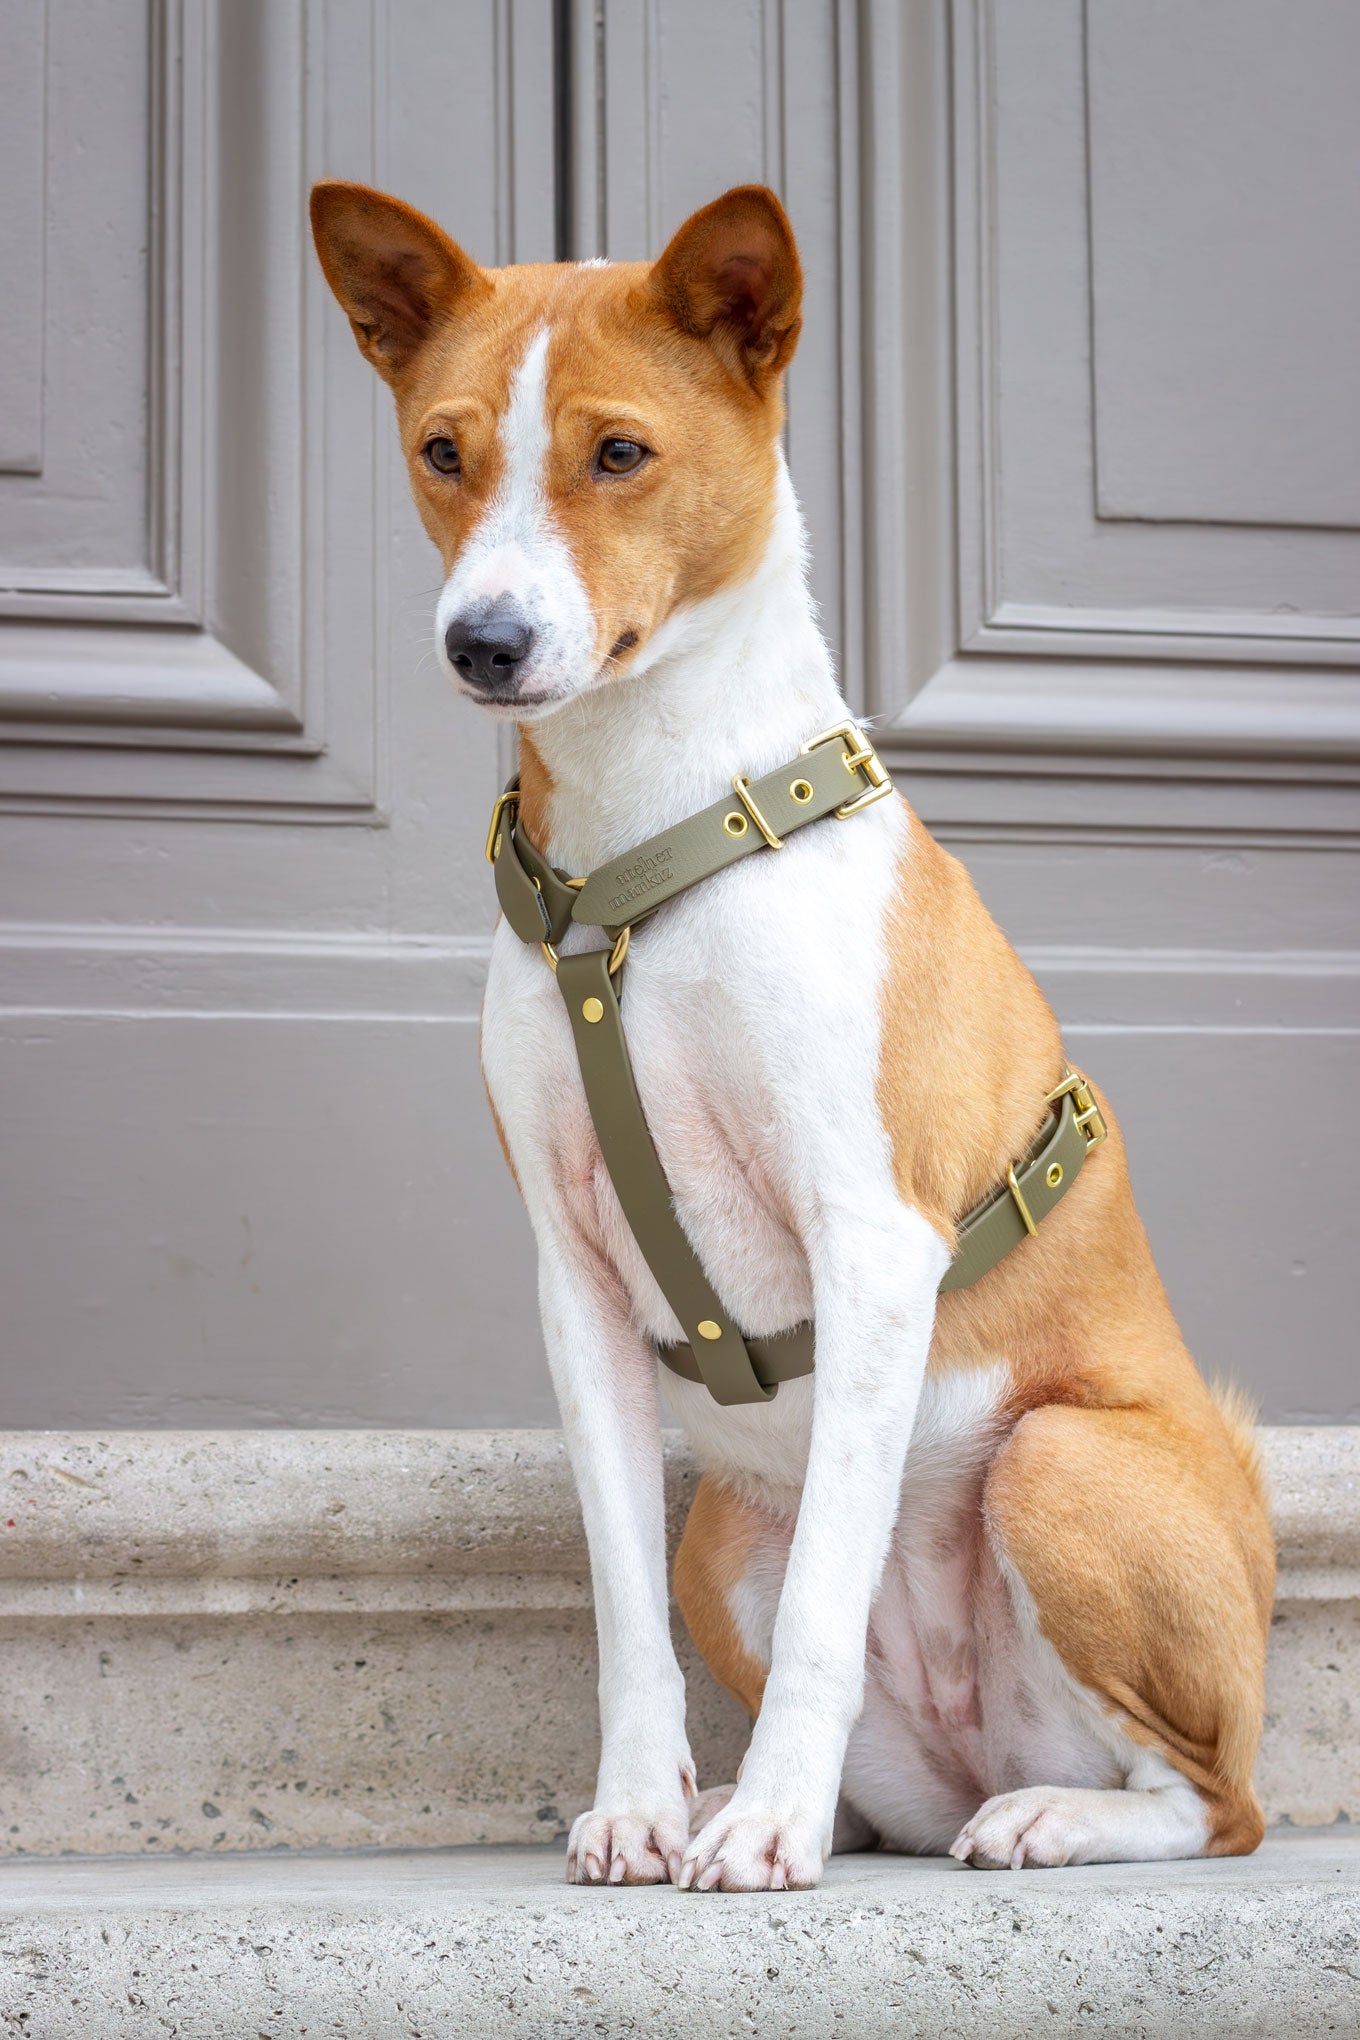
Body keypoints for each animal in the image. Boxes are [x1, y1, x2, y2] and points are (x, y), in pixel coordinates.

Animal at [311, 183, 1280, 1884]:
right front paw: (646, 1803)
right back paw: (770, 1799)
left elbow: (834, 1585)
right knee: (874, 1772)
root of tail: (971, 1752)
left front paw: (761, 1833)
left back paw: (1019, 1814)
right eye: (442, 450)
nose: (482, 641)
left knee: (1216, 1801)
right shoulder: (576, 1289)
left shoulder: (872, 1240)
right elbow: (624, 1618)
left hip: (1061, 1464)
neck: (645, 856)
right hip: (722, 1539)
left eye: (618, 453)